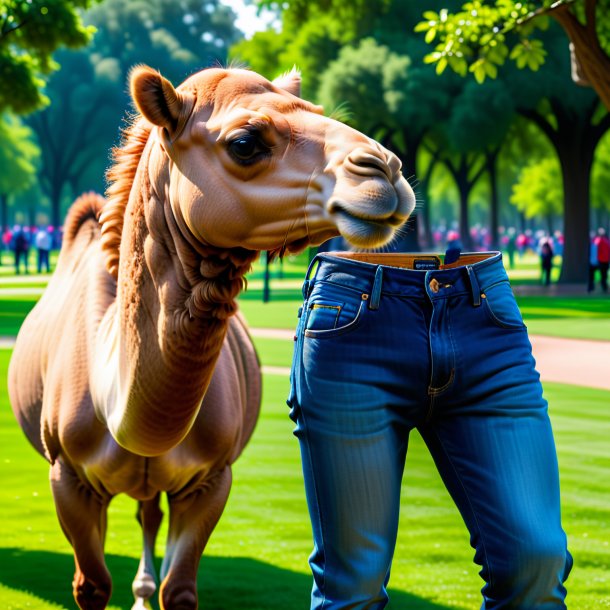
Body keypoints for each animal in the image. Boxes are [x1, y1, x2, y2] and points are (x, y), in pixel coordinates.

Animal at [8, 66, 414, 608]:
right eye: (244, 143)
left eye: (320, 112)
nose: (385, 170)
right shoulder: (67, 477)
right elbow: (91, 586)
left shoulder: (211, 479)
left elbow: (179, 590)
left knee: (148, 512)